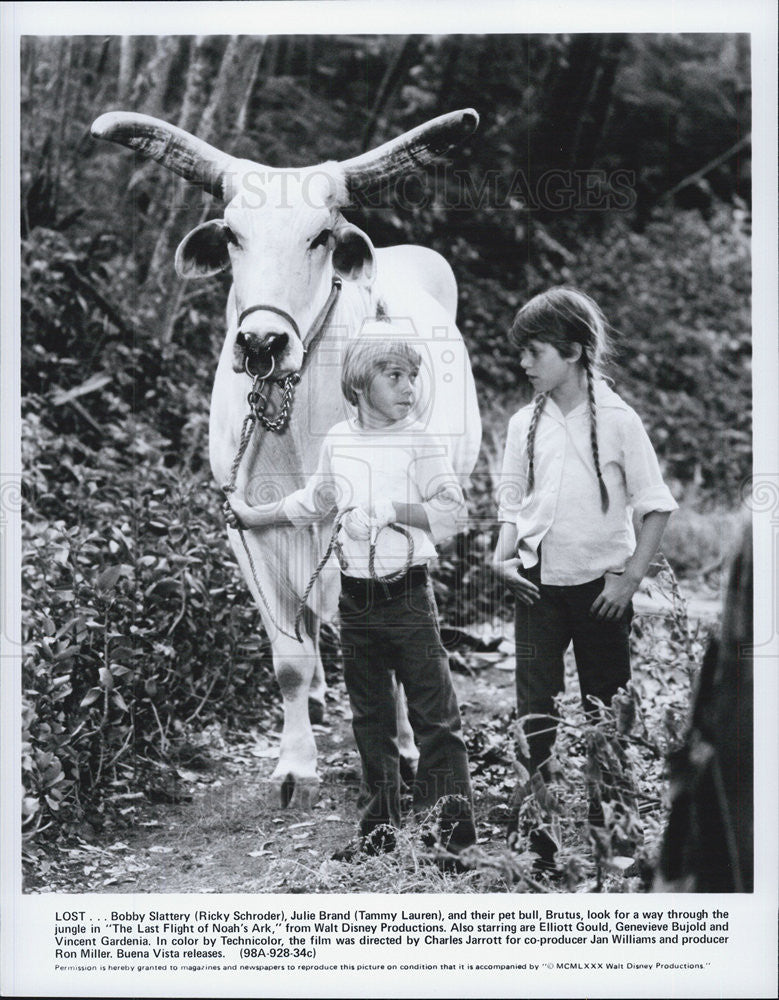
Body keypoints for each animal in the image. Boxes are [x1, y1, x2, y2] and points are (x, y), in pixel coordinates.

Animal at [90, 109, 482, 808]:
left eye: (320, 235)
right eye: (233, 235)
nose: (261, 342)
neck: (290, 420)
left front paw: (407, 748)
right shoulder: (243, 526)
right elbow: (289, 657)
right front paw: (296, 763)